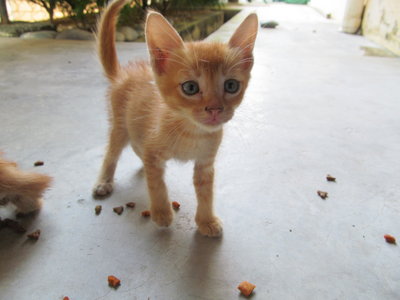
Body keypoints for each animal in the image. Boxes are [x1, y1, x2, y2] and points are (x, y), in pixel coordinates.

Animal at [93, 0, 256, 238]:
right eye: (190, 88)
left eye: (231, 85)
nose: (215, 109)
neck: (192, 132)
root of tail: (121, 74)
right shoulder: (154, 152)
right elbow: (157, 185)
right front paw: (162, 213)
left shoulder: (205, 163)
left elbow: (206, 193)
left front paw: (206, 220)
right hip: (119, 126)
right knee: (111, 153)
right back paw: (104, 181)